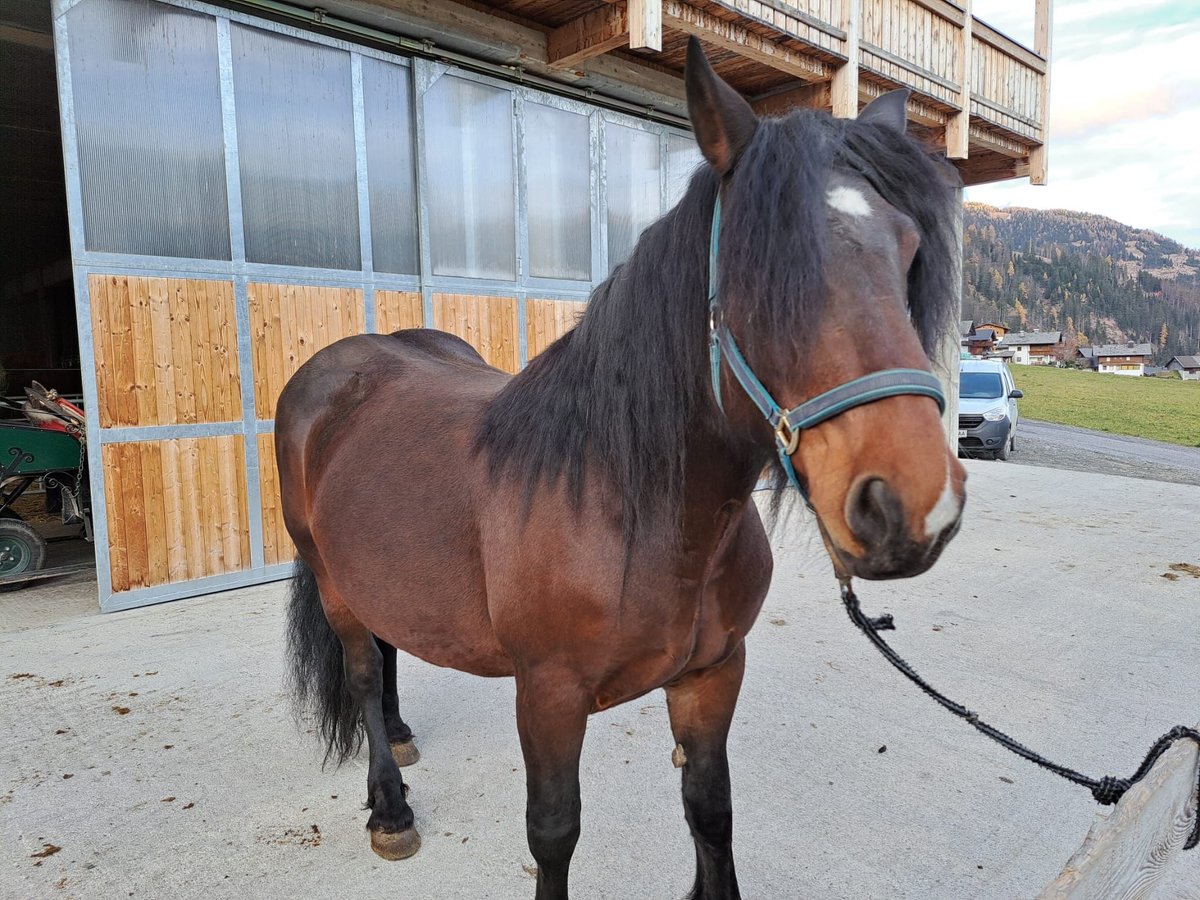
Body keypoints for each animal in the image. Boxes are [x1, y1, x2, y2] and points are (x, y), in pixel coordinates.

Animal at [280, 42, 964, 900]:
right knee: (364, 674)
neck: (637, 512)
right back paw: (391, 808)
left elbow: (711, 808)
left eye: (909, 253)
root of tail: (335, 369)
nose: (912, 506)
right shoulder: (548, 694)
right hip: (331, 580)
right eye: (762, 266)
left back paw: (402, 739)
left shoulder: (713, 674)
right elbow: (554, 833)